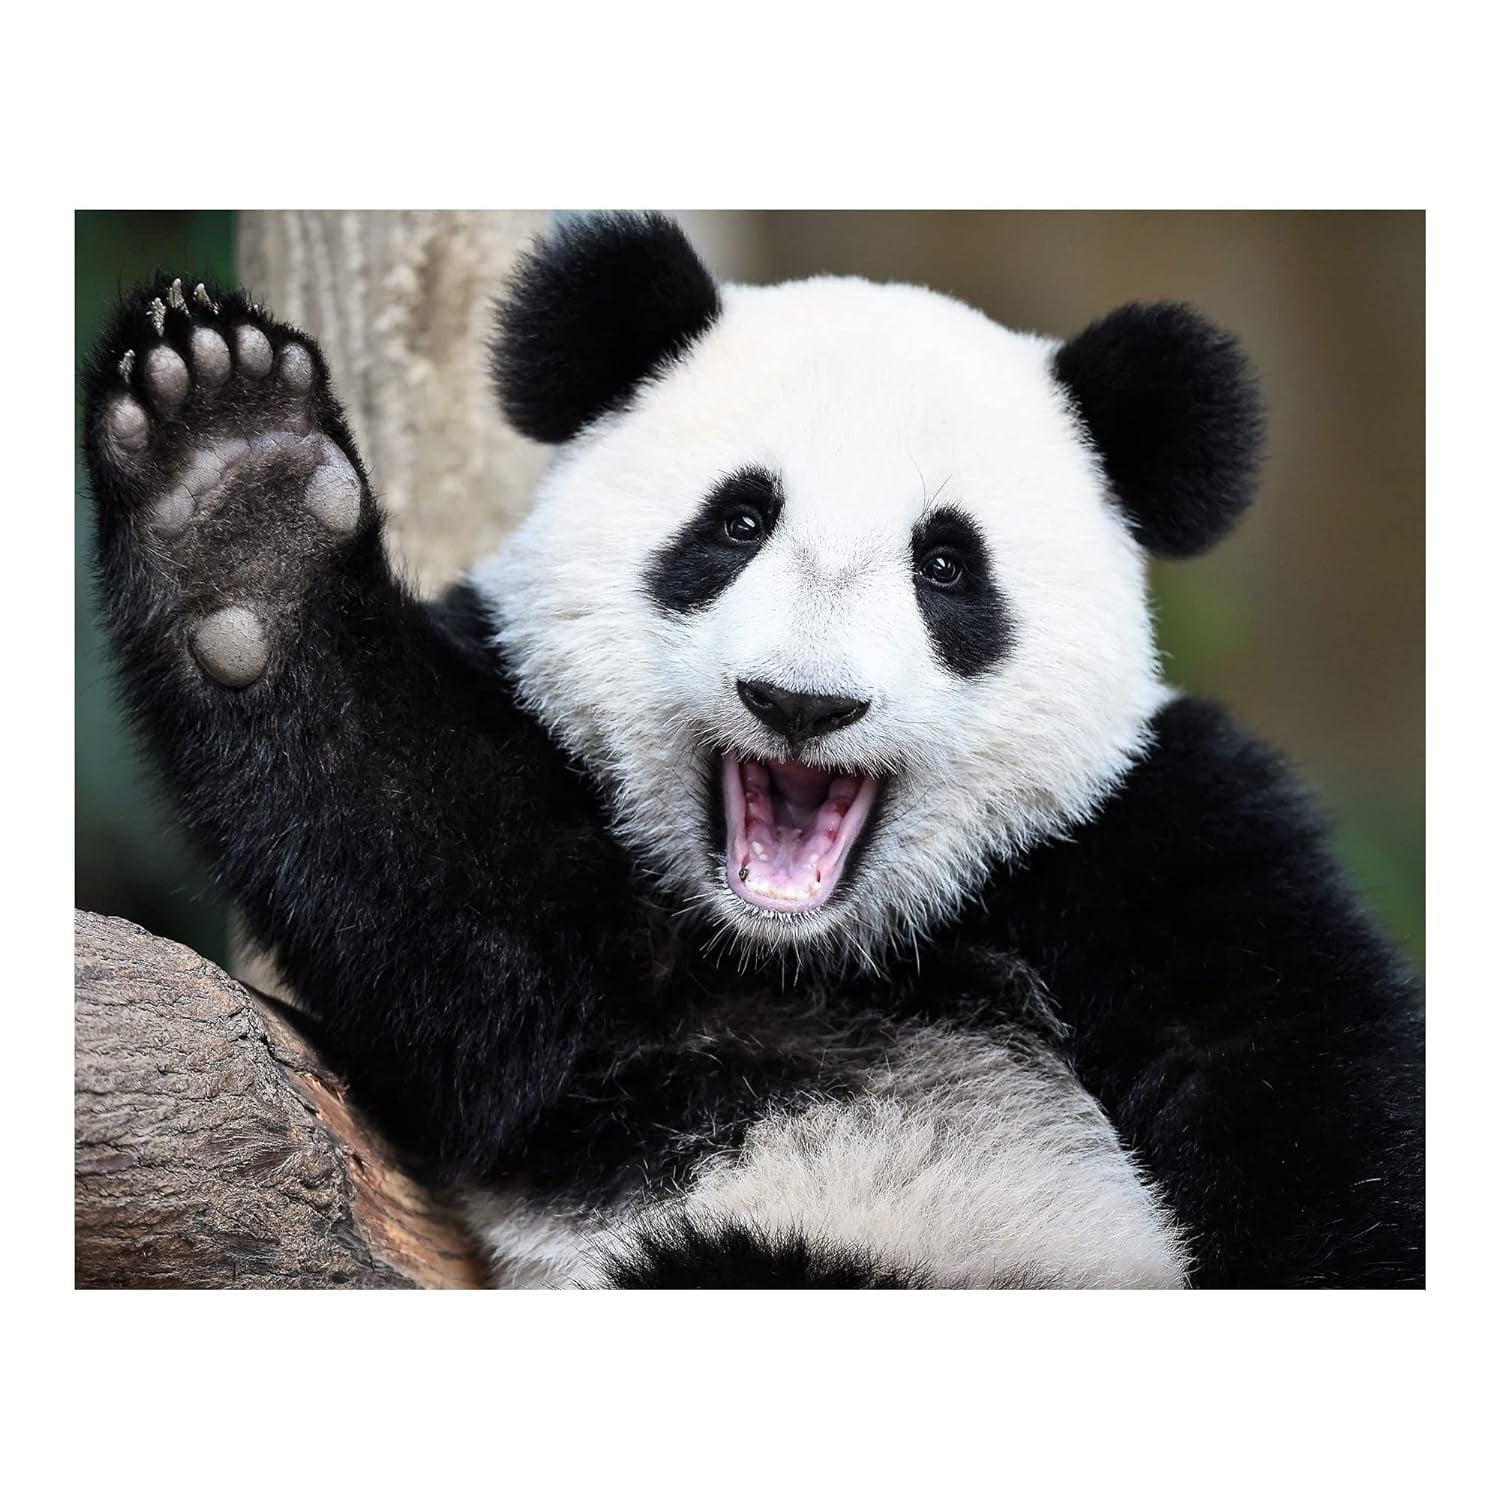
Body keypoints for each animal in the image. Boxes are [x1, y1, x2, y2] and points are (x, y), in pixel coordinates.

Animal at [82, 212, 1424, 1289]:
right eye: (736, 523)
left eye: (948, 564)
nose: (801, 703)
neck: (821, 958)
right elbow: (455, 924)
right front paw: (238, 495)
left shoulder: (1153, 830)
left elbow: (1305, 1093)